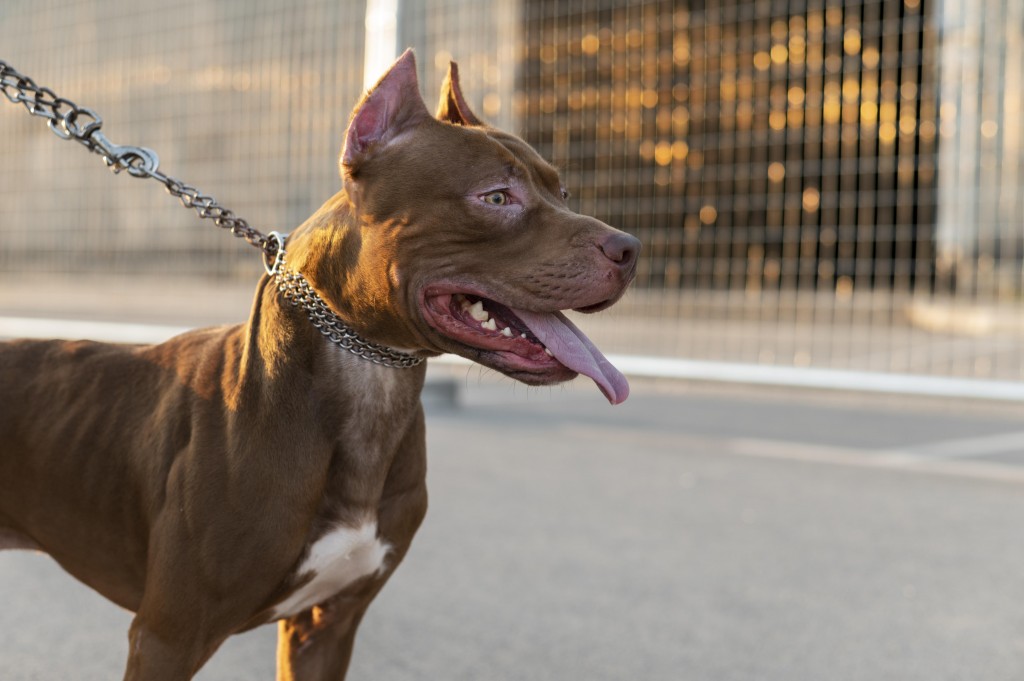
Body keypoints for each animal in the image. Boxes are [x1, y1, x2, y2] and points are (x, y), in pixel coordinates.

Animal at [0, 50, 638, 675]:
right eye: (496, 197)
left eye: (562, 193)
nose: (631, 248)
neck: (373, 378)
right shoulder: (167, 636)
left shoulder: (327, 626)